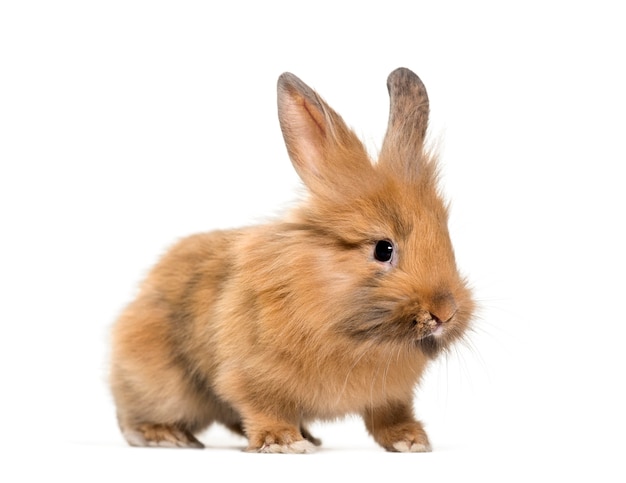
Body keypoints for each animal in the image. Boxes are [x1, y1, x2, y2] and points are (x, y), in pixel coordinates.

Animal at [109, 68, 476, 454]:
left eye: (447, 239)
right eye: (383, 249)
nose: (445, 312)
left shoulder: (391, 396)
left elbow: (389, 416)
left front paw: (411, 441)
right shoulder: (250, 376)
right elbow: (262, 408)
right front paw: (283, 443)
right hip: (162, 385)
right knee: (135, 416)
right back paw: (167, 436)